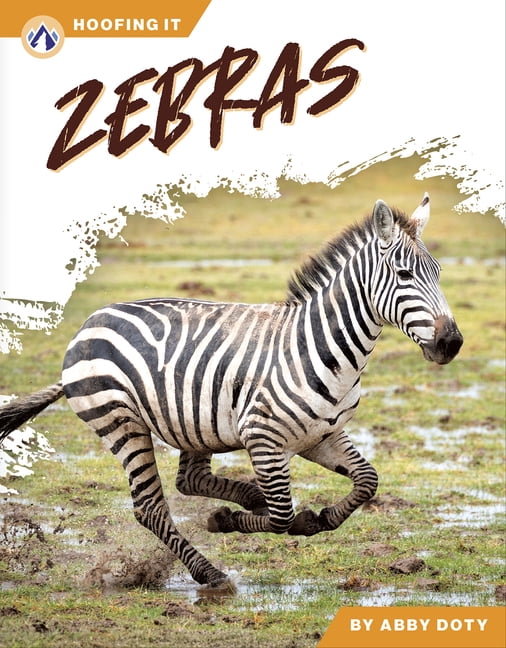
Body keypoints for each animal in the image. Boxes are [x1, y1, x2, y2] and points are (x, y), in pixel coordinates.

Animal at [0, 194, 463, 588]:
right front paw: (232, 521)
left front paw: (321, 516)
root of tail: (92, 320)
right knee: (152, 507)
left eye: (440, 274)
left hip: (193, 422)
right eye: (404, 275)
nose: (451, 343)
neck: (325, 352)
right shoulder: (264, 439)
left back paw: (247, 498)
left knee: (190, 480)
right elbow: (282, 516)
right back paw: (210, 571)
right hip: (122, 422)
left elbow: (367, 481)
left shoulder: (322, 435)